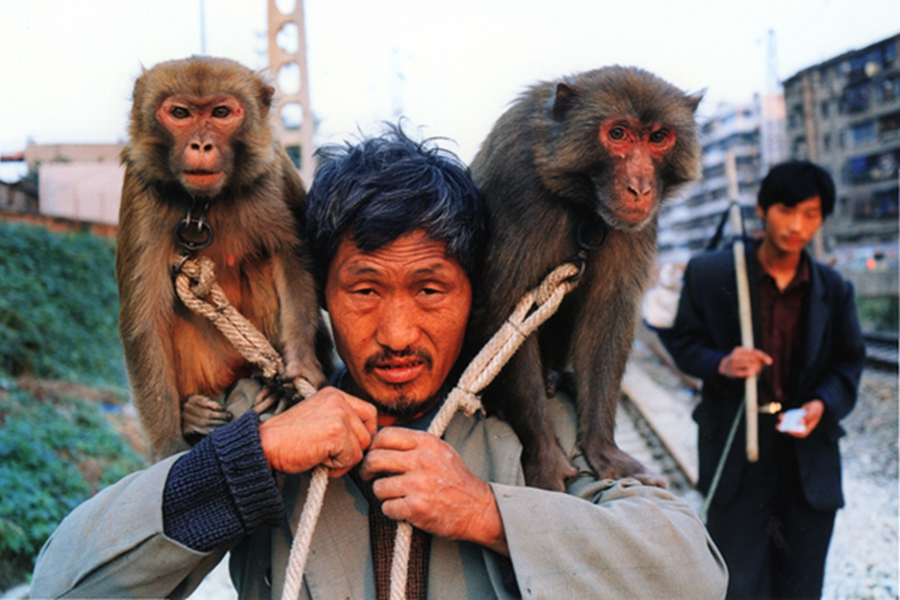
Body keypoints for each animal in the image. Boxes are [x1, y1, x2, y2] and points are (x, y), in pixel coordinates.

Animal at [118, 56, 328, 460]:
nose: (201, 144)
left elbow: (292, 257)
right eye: (180, 113)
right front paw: (168, 446)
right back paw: (191, 413)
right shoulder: (140, 189)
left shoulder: (271, 173)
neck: (205, 203)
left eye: (221, 113)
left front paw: (300, 366)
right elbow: (144, 319)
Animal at [468, 65, 708, 490]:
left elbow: (607, 314)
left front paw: (603, 449)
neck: (582, 201)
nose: (640, 188)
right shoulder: (516, 183)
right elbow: (507, 315)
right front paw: (545, 457)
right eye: (618, 134)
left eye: (658, 138)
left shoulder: (633, 226)